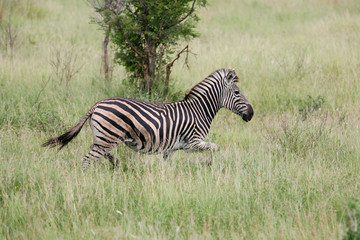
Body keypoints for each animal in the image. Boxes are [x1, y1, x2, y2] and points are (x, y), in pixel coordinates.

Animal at [43, 68, 253, 168]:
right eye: (237, 92)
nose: (251, 114)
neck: (198, 110)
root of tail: (97, 104)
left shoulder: (172, 147)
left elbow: (167, 164)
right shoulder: (192, 142)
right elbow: (214, 148)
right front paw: (209, 164)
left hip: (104, 138)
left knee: (98, 152)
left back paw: (115, 164)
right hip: (108, 137)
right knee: (87, 160)